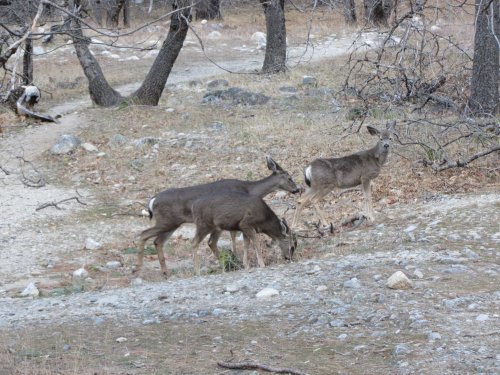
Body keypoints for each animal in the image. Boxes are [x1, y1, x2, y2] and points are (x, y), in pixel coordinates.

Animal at [135, 156, 298, 276]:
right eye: (290, 177)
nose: (297, 189)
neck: (249, 189)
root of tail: (152, 200)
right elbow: (233, 237)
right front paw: (236, 258)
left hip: (172, 224)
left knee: (158, 241)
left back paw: (164, 272)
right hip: (168, 221)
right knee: (144, 234)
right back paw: (138, 270)